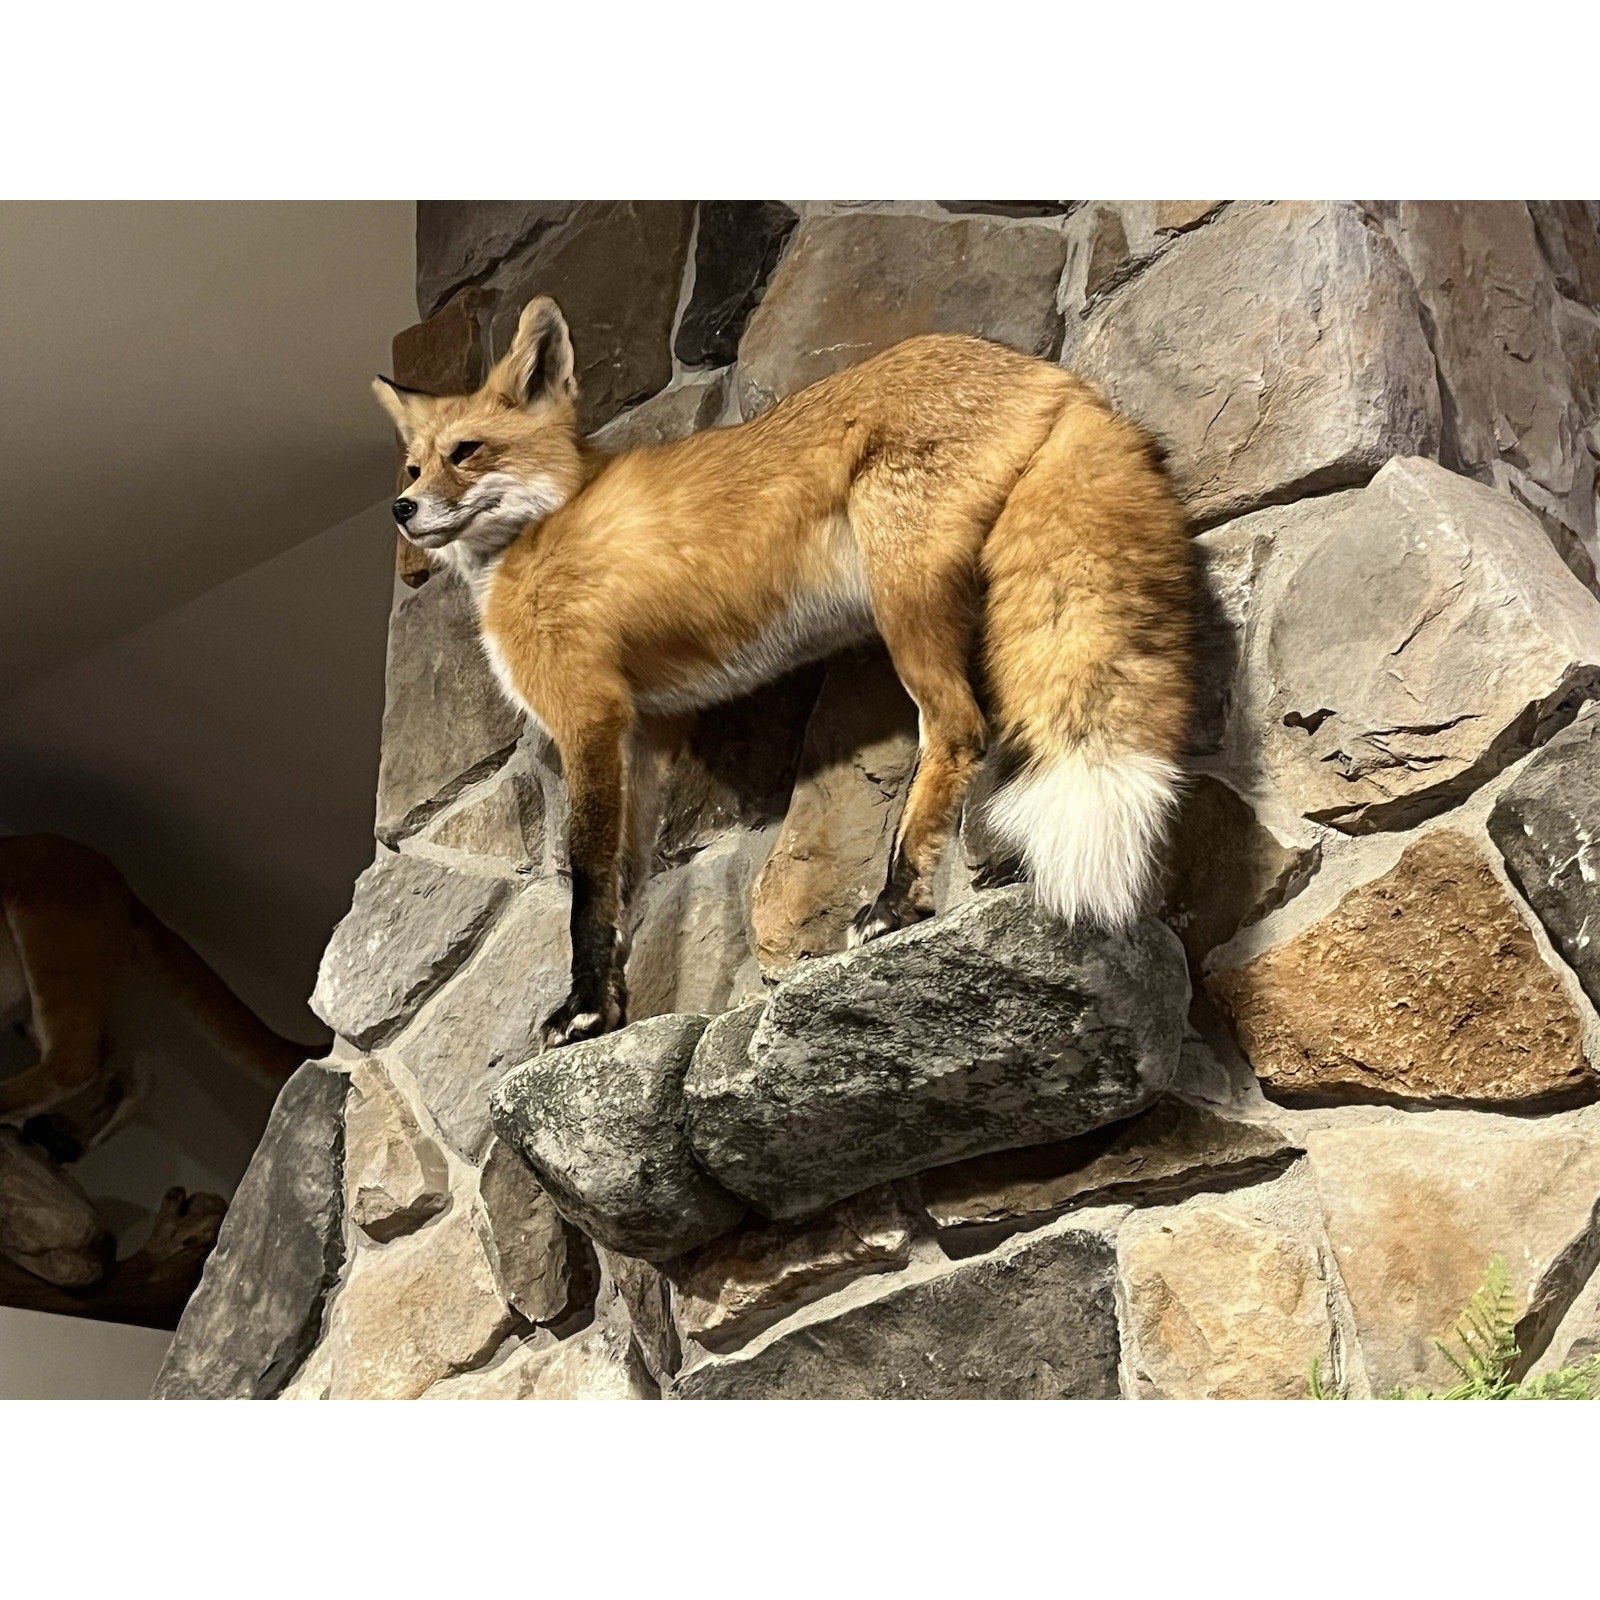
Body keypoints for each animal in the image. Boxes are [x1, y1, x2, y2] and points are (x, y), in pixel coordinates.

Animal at [373, 296, 1192, 1049]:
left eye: (467, 451)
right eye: (413, 465)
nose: (401, 508)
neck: (537, 531)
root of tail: (1056, 375)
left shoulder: (588, 715)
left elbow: (586, 884)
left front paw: (581, 1010)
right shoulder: (645, 732)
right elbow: (627, 886)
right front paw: (608, 1011)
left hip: (903, 598)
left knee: (959, 728)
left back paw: (896, 903)